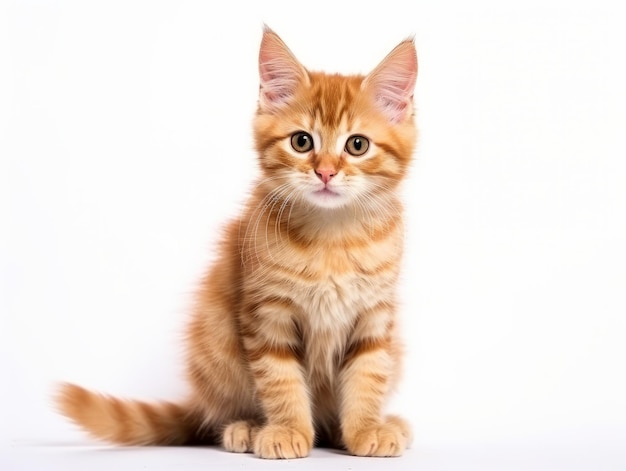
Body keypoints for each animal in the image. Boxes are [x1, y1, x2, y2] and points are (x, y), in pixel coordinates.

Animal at [56, 26, 416, 460]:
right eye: (301, 142)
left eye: (357, 145)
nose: (326, 173)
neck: (332, 236)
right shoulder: (266, 314)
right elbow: (280, 380)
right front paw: (287, 430)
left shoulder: (375, 317)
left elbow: (368, 375)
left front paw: (365, 428)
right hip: (216, 341)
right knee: (221, 412)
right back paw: (245, 428)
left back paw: (374, 425)